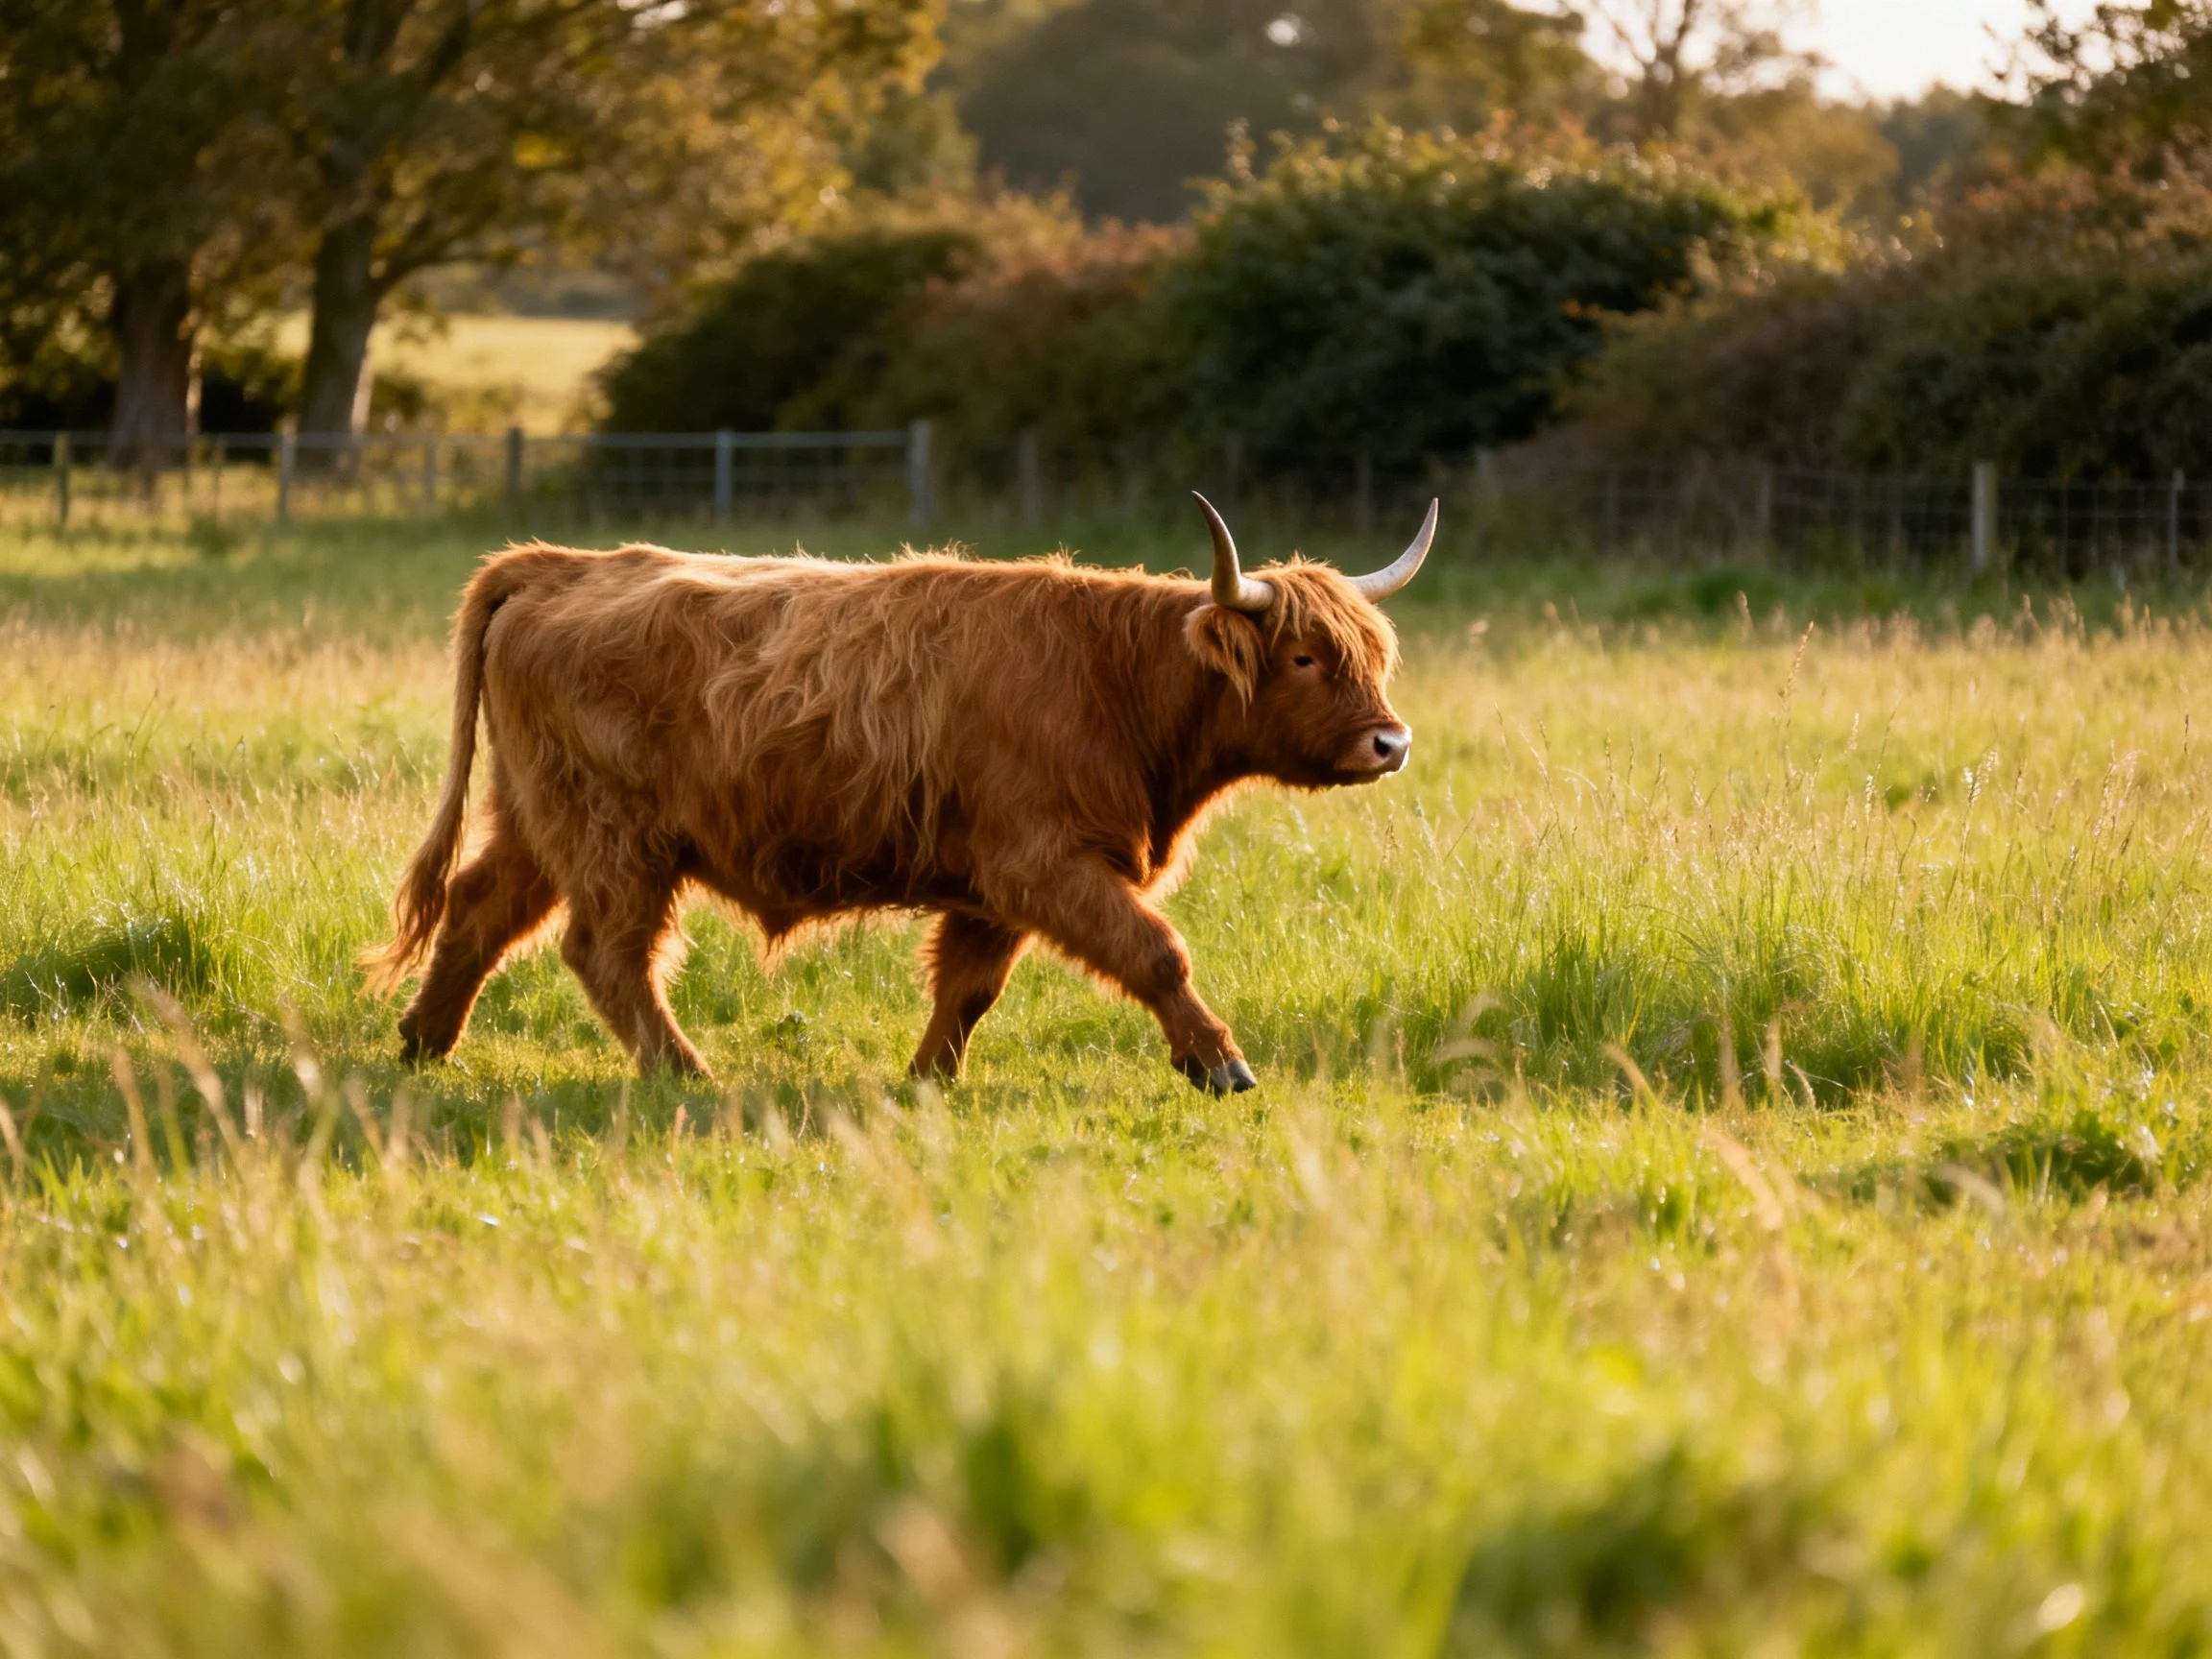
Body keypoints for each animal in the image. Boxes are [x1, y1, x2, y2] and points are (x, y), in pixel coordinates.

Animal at [366, 493, 1435, 1092]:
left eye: (1371, 655)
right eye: (1304, 657)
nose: (1392, 742)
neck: (1117, 680)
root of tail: (559, 564)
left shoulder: (998, 884)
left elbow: (968, 989)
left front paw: (927, 1080)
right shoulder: (1048, 861)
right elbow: (1156, 952)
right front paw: (1218, 1061)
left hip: (538, 816)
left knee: (479, 907)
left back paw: (424, 1042)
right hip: (614, 834)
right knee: (606, 952)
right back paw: (684, 1072)